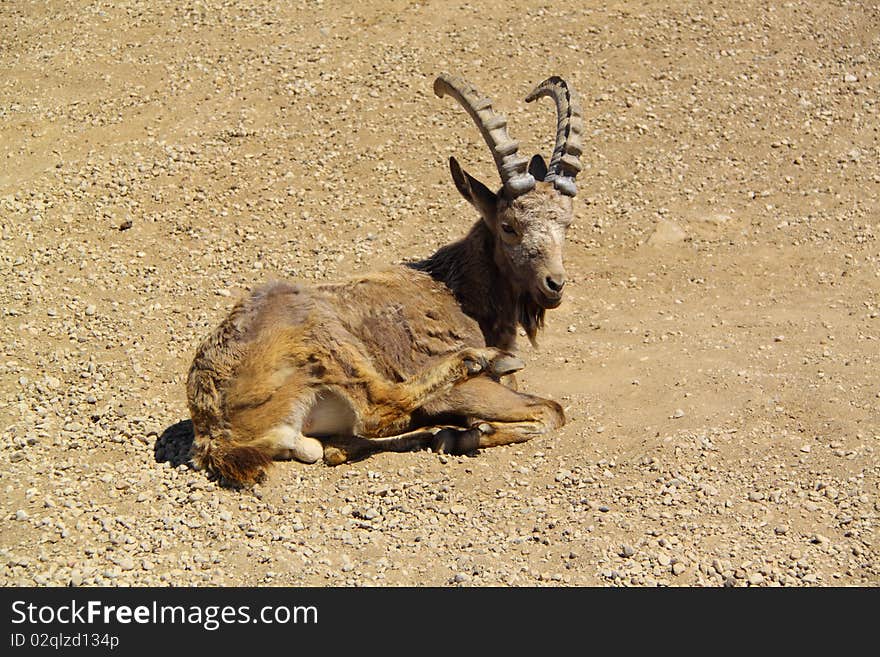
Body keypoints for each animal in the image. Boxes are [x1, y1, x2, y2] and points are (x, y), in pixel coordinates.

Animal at [186, 73, 584, 482]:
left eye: (567, 223)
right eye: (508, 226)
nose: (554, 285)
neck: (459, 293)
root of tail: (213, 432)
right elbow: (552, 410)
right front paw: (470, 431)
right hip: (320, 330)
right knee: (376, 410)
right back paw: (478, 366)